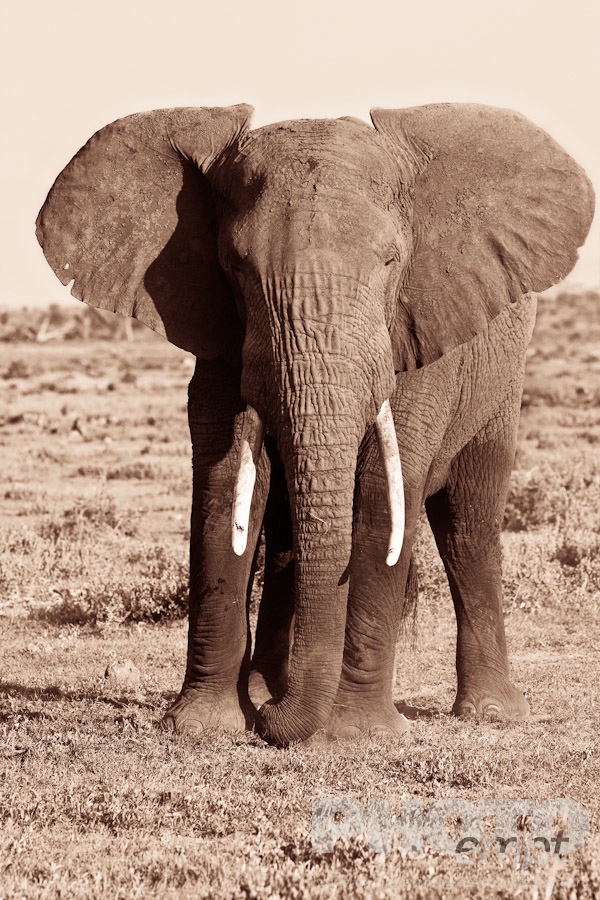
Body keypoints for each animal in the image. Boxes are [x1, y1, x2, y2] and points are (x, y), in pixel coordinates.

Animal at [36, 103, 594, 746]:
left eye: (391, 262)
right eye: (235, 267)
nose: (271, 724)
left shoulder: (418, 335)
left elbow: (381, 494)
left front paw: (357, 733)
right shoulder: (220, 334)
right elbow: (226, 485)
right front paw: (205, 727)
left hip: (501, 382)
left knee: (468, 525)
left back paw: (489, 714)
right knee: (284, 535)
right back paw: (272, 689)